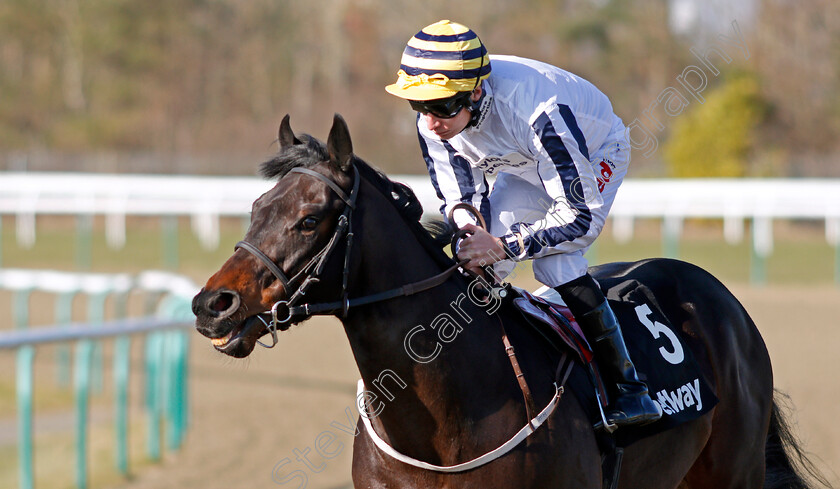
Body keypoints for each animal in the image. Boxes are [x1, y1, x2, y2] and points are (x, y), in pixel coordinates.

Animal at [192, 115, 828, 488]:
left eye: (309, 219)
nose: (212, 303)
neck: (442, 424)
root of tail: (721, 297)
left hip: (734, 472)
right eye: (255, 207)